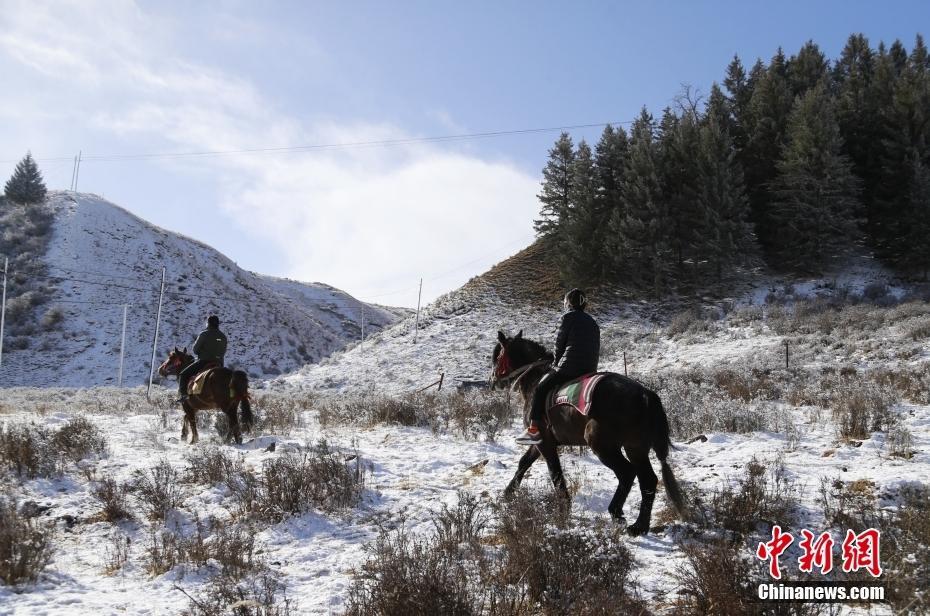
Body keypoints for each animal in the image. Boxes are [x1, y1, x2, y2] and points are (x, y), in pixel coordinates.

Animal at [490, 330, 684, 536]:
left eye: (498, 356)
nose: (492, 381)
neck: (536, 380)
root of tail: (646, 395)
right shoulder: (541, 442)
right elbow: (524, 462)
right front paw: (507, 493)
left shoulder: (545, 443)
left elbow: (555, 473)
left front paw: (564, 507)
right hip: (635, 448)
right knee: (648, 480)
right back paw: (639, 526)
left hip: (603, 445)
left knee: (627, 473)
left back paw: (617, 513)